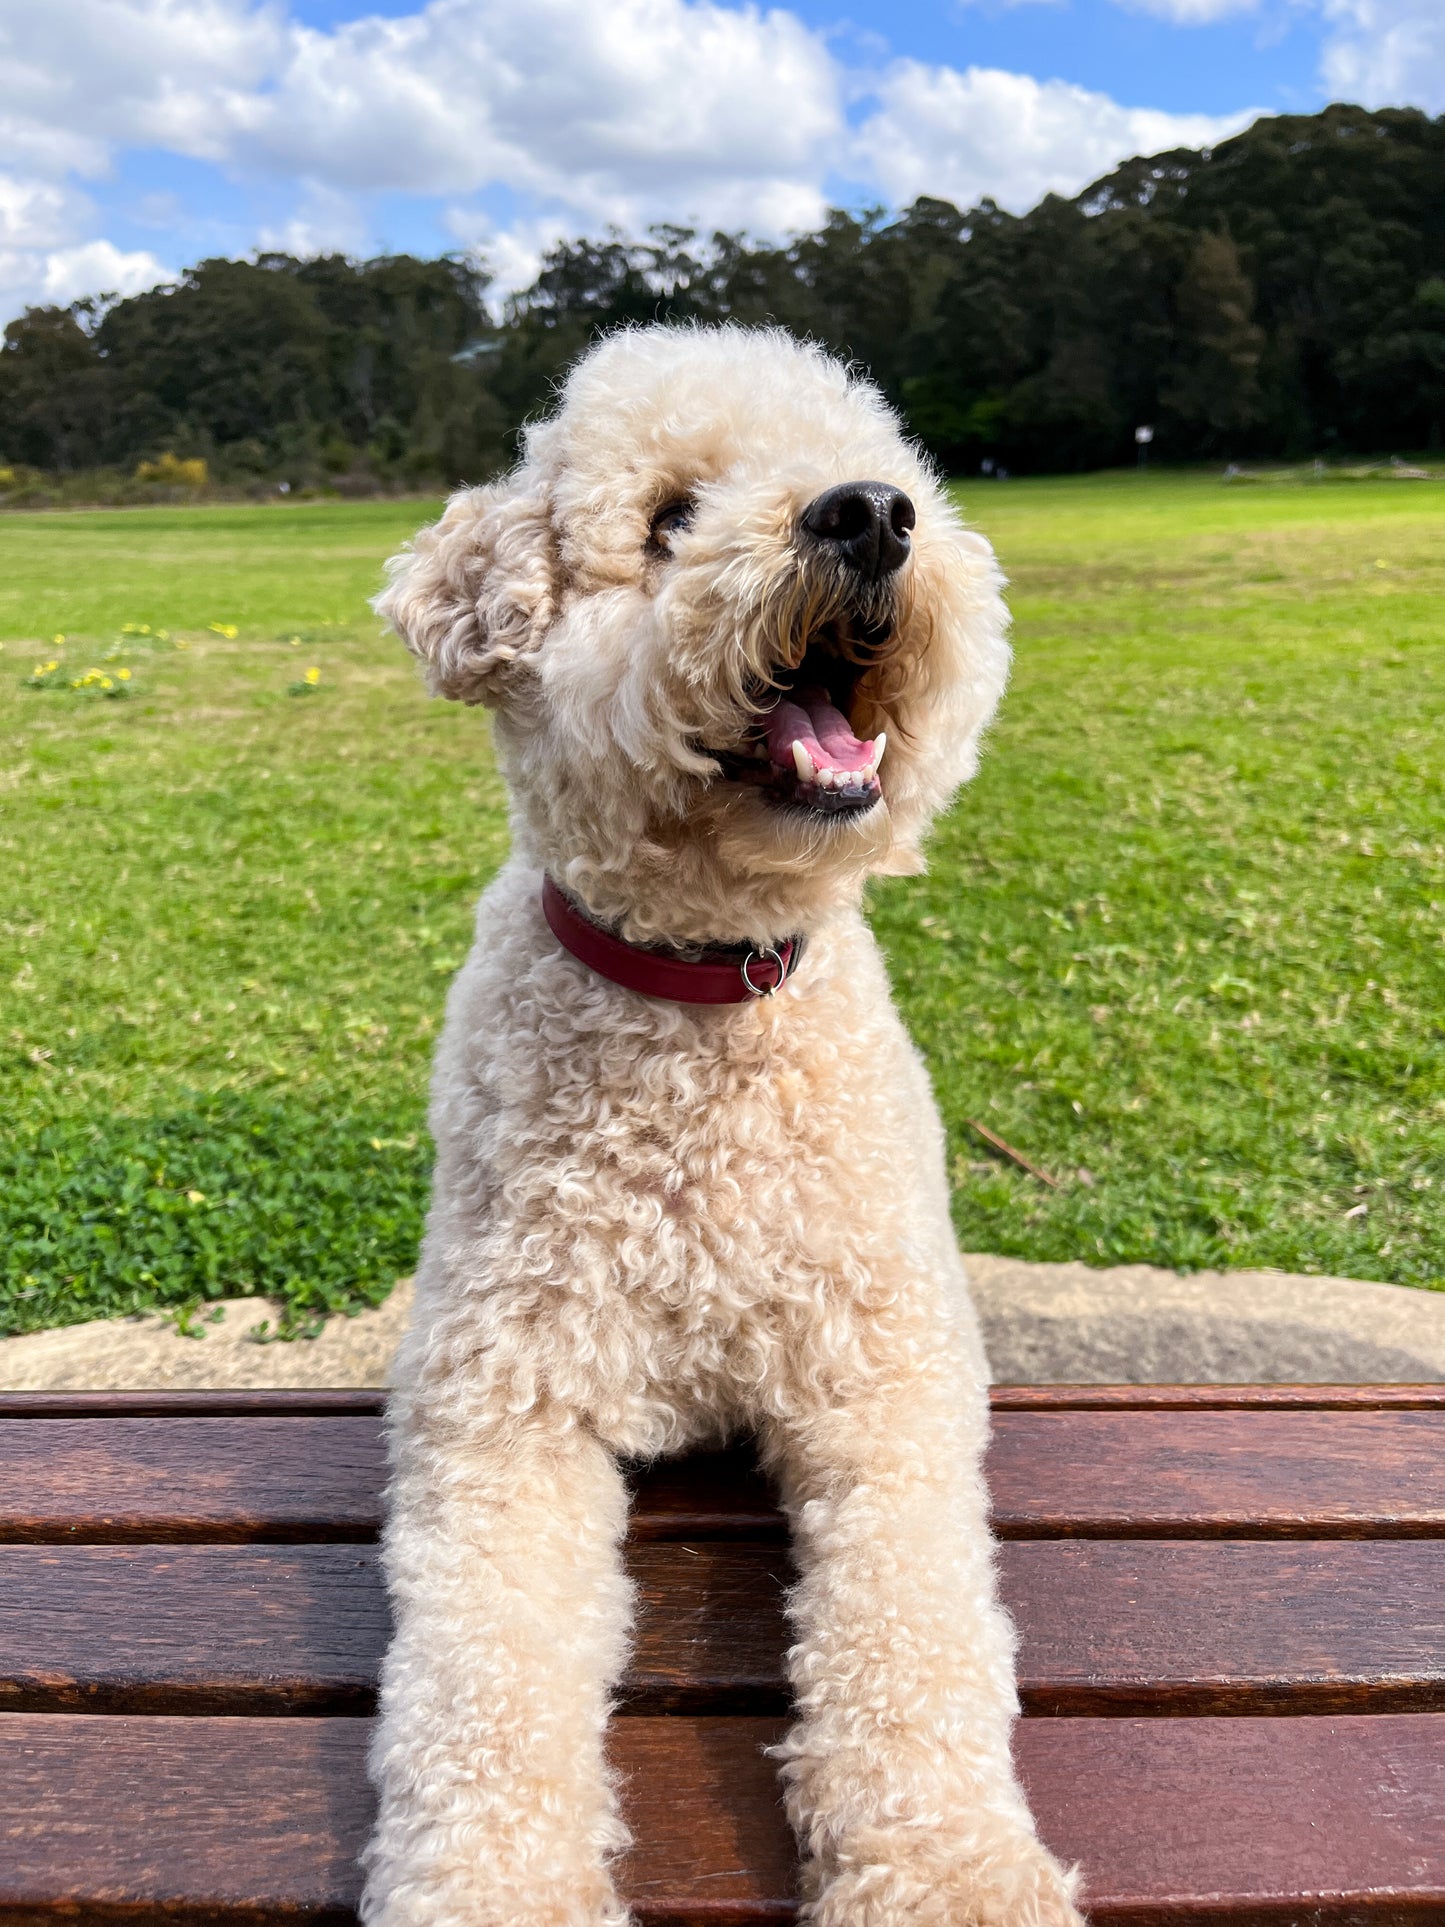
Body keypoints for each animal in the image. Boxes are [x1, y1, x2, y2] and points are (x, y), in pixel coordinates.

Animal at [364, 323, 1086, 1919]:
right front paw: (492, 1887)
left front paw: (950, 1869)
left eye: (881, 467)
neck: (705, 996)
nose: (868, 514)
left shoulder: (885, 1379)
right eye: (667, 517)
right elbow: (479, 1684)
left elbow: (910, 1630)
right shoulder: (506, 1410)